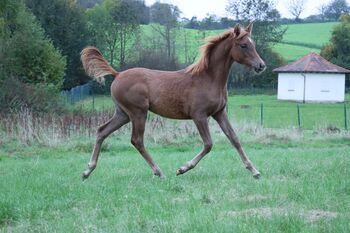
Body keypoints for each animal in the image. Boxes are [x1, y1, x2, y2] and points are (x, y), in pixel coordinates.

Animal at [80, 23, 266, 180]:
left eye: (253, 43)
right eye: (243, 45)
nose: (261, 65)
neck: (208, 78)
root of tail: (117, 74)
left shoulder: (219, 113)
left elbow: (234, 139)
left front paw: (254, 171)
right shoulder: (199, 116)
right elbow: (208, 144)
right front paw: (182, 168)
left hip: (123, 114)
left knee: (102, 131)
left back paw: (87, 170)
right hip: (138, 112)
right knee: (137, 140)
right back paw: (159, 172)